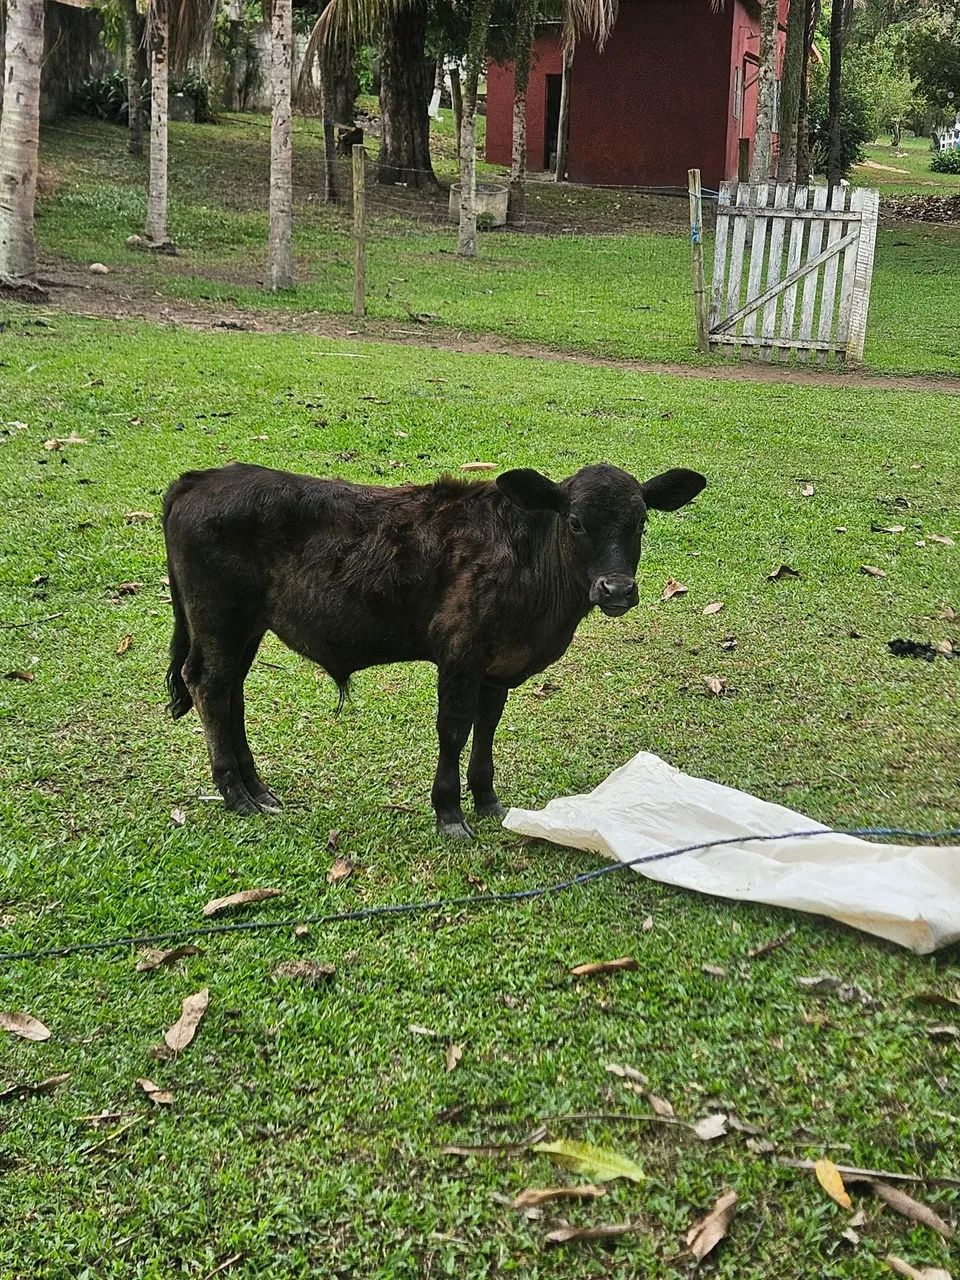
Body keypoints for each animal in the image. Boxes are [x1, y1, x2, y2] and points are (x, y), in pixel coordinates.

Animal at [163, 461, 706, 837]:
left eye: (640, 522)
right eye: (575, 522)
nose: (617, 589)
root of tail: (202, 479)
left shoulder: (497, 666)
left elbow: (487, 727)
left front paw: (487, 800)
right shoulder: (460, 655)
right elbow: (454, 729)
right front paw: (449, 812)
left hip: (244, 628)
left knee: (231, 693)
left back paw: (257, 789)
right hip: (220, 619)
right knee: (208, 686)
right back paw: (236, 794)